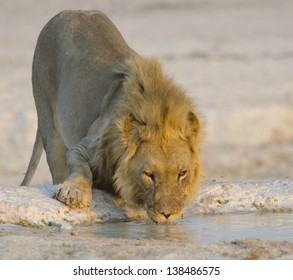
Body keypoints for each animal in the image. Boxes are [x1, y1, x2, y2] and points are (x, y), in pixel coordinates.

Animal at [21, 10, 203, 223]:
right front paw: (73, 192)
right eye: (149, 175)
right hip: (49, 124)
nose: (168, 214)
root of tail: (67, 11)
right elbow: (82, 170)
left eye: (182, 173)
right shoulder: (83, 147)